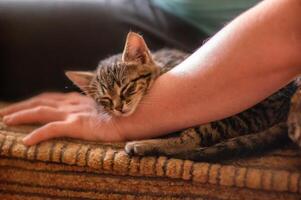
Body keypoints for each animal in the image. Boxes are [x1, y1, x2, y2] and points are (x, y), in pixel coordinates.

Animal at [65, 32, 298, 162]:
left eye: (127, 88)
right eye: (104, 100)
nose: (118, 108)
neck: (161, 68)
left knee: (190, 141)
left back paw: (144, 145)